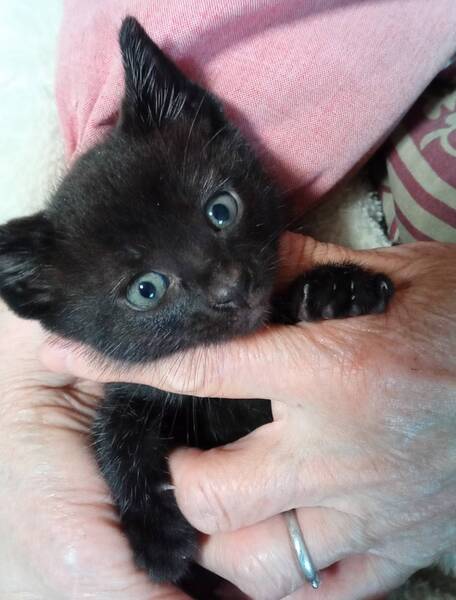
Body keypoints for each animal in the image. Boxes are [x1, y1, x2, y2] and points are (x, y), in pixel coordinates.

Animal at [0, 16, 393, 597]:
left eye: (221, 209)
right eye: (146, 290)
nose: (231, 287)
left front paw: (335, 291)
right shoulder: (135, 386)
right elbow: (113, 427)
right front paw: (156, 536)